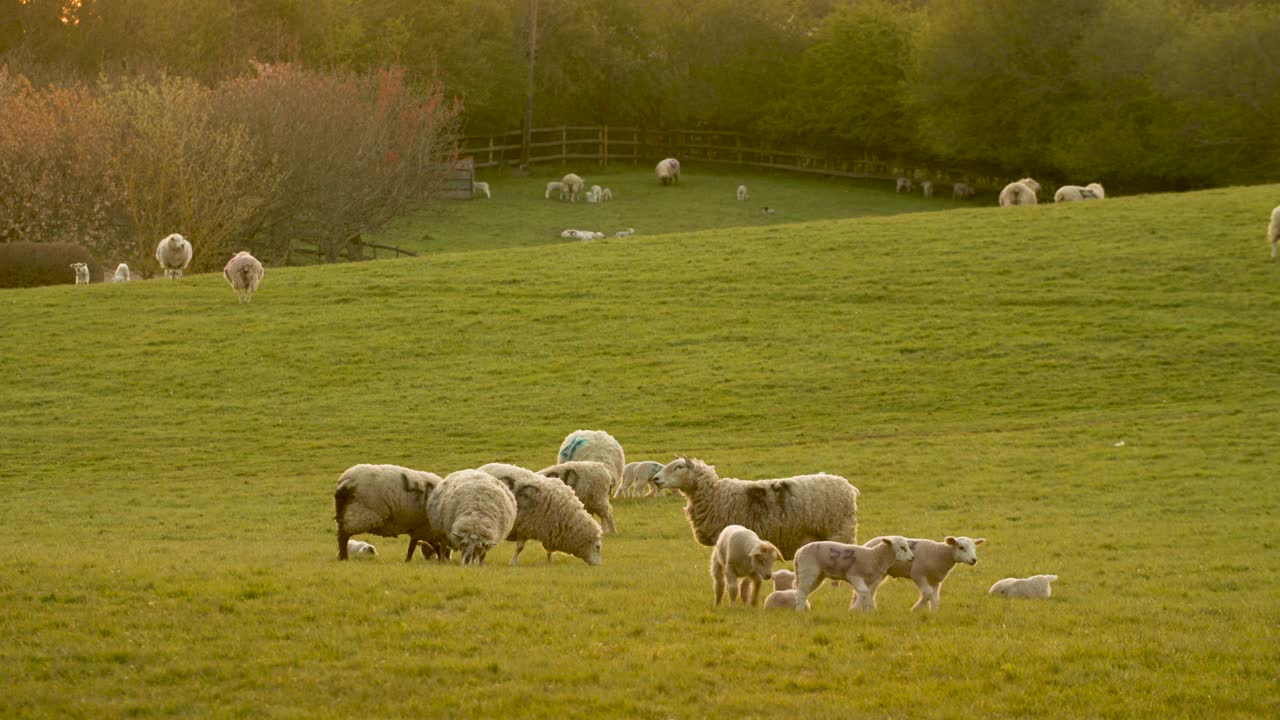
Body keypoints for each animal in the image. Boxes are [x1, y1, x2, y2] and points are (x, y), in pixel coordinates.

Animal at [860, 532, 988, 609]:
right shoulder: (918, 574)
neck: (939, 553)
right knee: (871, 591)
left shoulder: (936, 580)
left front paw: (933, 615)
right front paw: (914, 610)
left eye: (975, 548)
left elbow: (935, 598)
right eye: (961, 547)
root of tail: (866, 544)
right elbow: (927, 594)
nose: (974, 560)